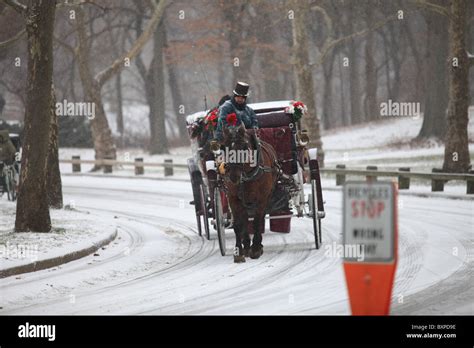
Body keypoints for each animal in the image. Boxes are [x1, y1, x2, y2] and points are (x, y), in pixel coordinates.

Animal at [220, 123, 280, 262]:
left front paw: (256, 248)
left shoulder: (262, 198)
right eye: (224, 147)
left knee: (258, 218)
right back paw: (246, 245)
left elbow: (257, 221)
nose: (233, 175)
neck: (246, 175)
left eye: (244, 147)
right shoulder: (233, 198)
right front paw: (239, 252)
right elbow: (238, 224)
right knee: (245, 219)